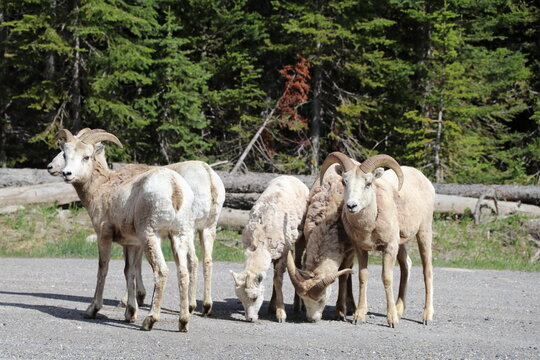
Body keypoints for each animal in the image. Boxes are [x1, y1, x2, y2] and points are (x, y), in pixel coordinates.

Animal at [50, 129, 226, 316]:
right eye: (65, 153)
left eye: (86, 156)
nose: (64, 172)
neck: (103, 186)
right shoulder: (132, 242)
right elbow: (131, 269)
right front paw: (132, 306)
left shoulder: (105, 235)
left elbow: (105, 268)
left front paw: (95, 308)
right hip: (202, 229)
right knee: (203, 262)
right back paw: (201, 308)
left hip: (164, 234)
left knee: (181, 264)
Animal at [231, 176, 308, 322]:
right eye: (240, 298)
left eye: (255, 297)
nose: (250, 319)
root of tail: (290, 177)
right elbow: (275, 279)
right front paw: (275, 308)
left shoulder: (283, 254)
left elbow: (278, 280)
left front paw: (281, 314)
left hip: (301, 237)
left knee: (298, 264)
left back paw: (299, 306)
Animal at [286, 163, 358, 320]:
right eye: (305, 299)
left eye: (322, 299)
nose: (312, 319)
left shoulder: (350, 250)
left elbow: (343, 277)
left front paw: (340, 312)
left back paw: (351, 307)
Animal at [312, 152, 434, 326]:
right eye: (344, 181)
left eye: (368, 183)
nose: (351, 206)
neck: (369, 225)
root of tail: (424, 180)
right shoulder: (361, 249)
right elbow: (363, 277)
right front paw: (358, 316)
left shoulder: (389, 247)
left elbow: (387, 278)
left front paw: (392, 320)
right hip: (401, 243)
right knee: (406, 265)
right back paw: (399, 310)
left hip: (424, 232)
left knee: (427, 271)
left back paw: (426, 316)